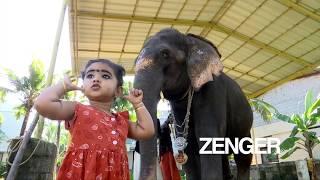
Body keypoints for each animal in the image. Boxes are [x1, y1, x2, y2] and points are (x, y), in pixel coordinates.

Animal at [132, 27, 252, 179]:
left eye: (165, 54)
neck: (190, 40)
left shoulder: (213, 91)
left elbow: (207, 136)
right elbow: (188, 143)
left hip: (245, 127)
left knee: (243, 156)